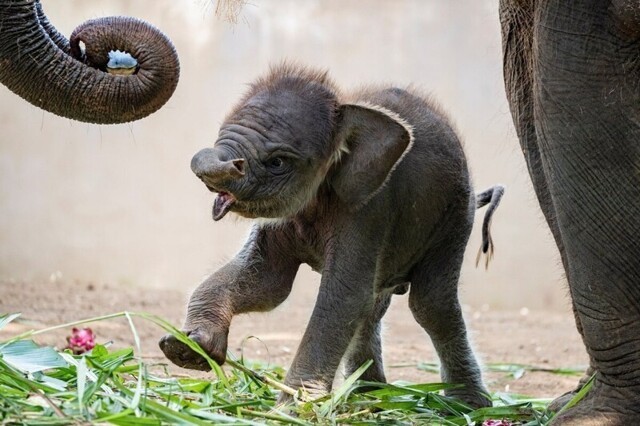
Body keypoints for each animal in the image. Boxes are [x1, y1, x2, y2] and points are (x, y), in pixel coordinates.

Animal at [158, 62, 502, 406]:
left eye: (277, 162)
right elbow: (266, 283)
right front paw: (187, 349)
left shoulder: (369, 208)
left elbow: (343, 294)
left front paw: (296, 407)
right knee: (375, 303)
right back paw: (367, 395)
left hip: (455, 218)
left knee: (431, 304)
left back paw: (466, 405)